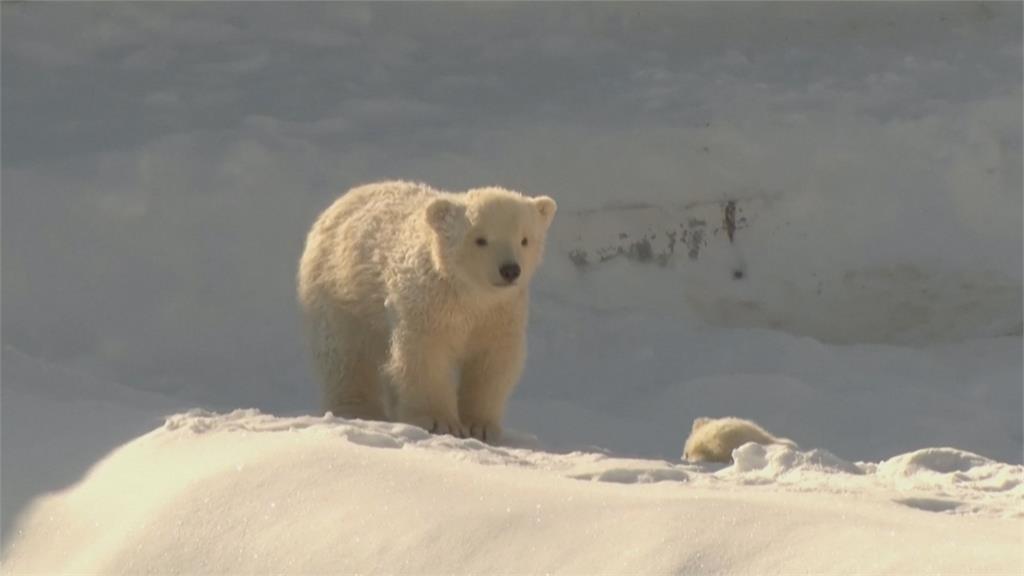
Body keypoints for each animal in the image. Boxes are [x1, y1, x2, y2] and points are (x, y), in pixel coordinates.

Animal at [299, 181, 557, 440]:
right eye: (480, 239)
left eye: (525, 239)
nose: (510, 270)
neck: (469, 294)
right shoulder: (429, 304)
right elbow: (426, 355)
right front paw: (439, 422)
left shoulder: (499, 313)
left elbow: (493, 361)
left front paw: (480, 426)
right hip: (342, 291)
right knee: (346, 354)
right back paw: (357, 410)